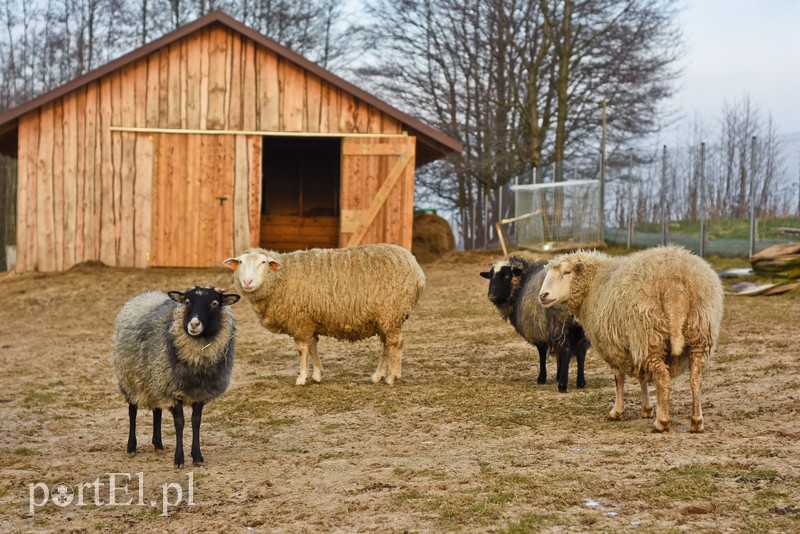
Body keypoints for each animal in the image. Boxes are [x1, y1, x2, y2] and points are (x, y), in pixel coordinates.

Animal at [110, 286, 241, 466]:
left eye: (215, 303)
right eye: (187, 302)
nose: (194, 324)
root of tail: (146, 294)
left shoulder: (200, 392)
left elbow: (196, 421)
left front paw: (197, 456)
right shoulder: (172, 389)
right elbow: (179, 423)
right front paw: (179, 459)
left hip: (155, 379)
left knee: (157, 410)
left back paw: (158, 444)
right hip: (130, 377)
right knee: (132, 411)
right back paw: (131, 447)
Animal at [222, 245, 428, 388]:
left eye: (263, 262)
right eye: (240, 262)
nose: (247, 282)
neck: (281, 278)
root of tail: (416, 267)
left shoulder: (300, 321)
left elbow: (302, 350)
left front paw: (302, 377)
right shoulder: (310, 321)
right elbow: (313, 347)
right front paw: (317, 374)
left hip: (391, 313)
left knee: (396, 343)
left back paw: (392, 377)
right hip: (385, 318)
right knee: (387, 345)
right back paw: (378, 376)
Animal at [478, 258, 592, 392]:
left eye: (506, 276)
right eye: (491, 276)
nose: (492, 296)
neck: (521, 284)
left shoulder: (538, 330)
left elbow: (542, 354)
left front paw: (542, 378)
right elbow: (559, 354)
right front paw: (558, 375)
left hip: (560, 325)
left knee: (566, 351)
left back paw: (562, 385)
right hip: (581, 329)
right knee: (581, 351)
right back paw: (581, 382)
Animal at [536, 247, 724, 436]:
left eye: (567, 272)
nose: (543, 295)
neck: (593, 284)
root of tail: (675, 286)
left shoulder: (613, 345)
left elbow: (619, 378)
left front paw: (617, 412)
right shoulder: (633, 346)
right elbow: (643, 377)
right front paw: (646, 409)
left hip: (648, 333)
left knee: (663, 377)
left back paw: (661, 422)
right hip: (698, 331)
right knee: (695, 378)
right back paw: (696, 422)